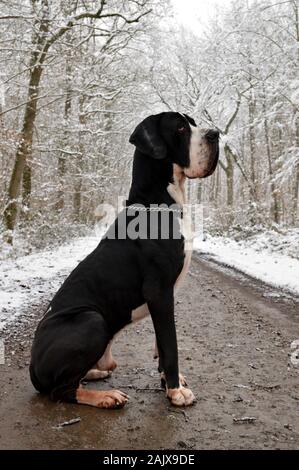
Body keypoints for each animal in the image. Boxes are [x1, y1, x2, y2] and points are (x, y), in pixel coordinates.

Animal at [29, 111, 219, 408]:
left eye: (193, 122)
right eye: (179, 127)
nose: (215, 134)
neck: (156, 201)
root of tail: (32, 368)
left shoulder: (166, 295)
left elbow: (161, 343)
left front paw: (168, 382)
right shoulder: (158, 291)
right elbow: (171, 344)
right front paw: (176, 391)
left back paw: (94, 373)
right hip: (92, 320)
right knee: (61, 391)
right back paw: (105, 396)